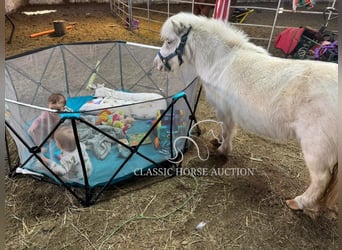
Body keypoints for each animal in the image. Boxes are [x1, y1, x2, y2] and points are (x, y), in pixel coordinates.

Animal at [155, 11, 340, 216]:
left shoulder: (224, 110)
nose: (157, 64)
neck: (221, 60)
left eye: (169, 41)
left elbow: (226, 130)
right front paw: (219, 143)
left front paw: (222, 150)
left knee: (320, 179)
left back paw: (298, 202)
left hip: (316, 147)